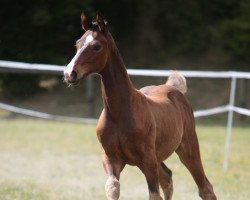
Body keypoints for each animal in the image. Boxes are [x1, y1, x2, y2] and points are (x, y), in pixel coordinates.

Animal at [64, 12, 217, 200]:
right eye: (77, 44)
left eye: (97, 46)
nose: (69, 73)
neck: (119, 113)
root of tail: (174, 88)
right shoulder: (111, 158)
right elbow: (113, 188)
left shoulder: (147, 160)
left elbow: (153, 194)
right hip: (158, 157)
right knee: (167, 178)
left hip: (187, 149)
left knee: (205, 188)